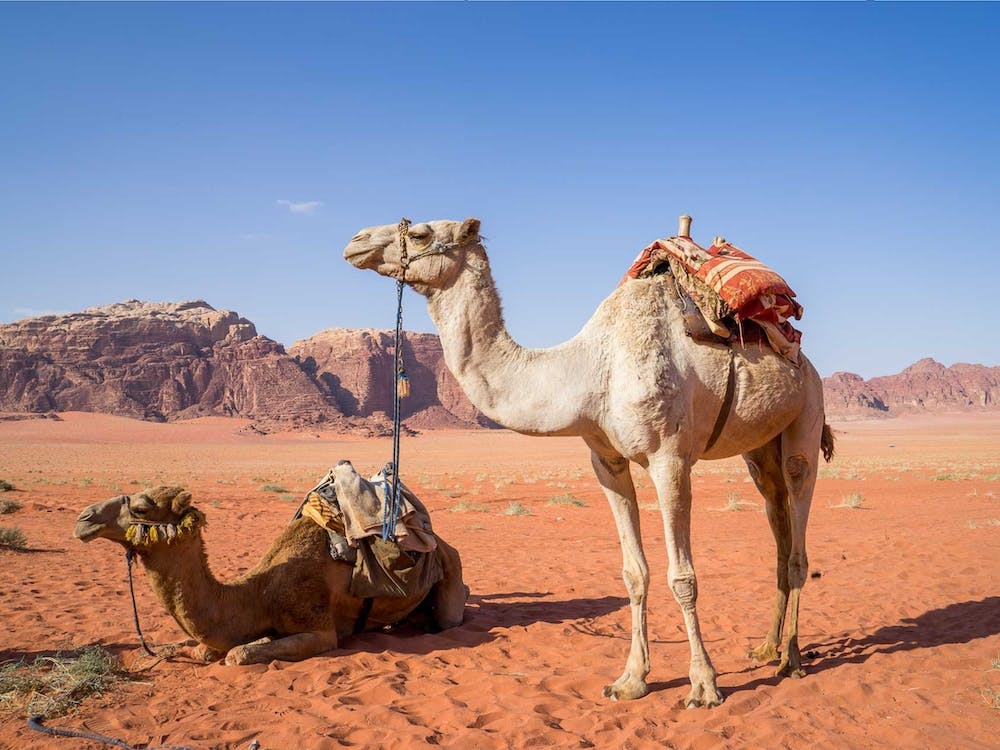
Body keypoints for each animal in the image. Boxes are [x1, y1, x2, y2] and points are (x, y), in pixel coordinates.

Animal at [73, 469, 467, 665]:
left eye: (141, 508)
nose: (84, 518)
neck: (259, 593)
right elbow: (203, 648)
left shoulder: (321, 630)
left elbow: (238, 653)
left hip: (450, 566)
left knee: (451, 613)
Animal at [344, 216, 834, 706]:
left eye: (421, 233)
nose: (355, 242)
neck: (591, 371)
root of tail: (803, 359)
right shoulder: (607, 461)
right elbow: (634, 573)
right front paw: (631, 679)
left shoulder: (670, 458)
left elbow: (683, 576)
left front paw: (703, 684)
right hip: (759, 448)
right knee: (776, 522)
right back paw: (767, 647)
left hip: (806, 415)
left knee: (797, 533)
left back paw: (791, 659)